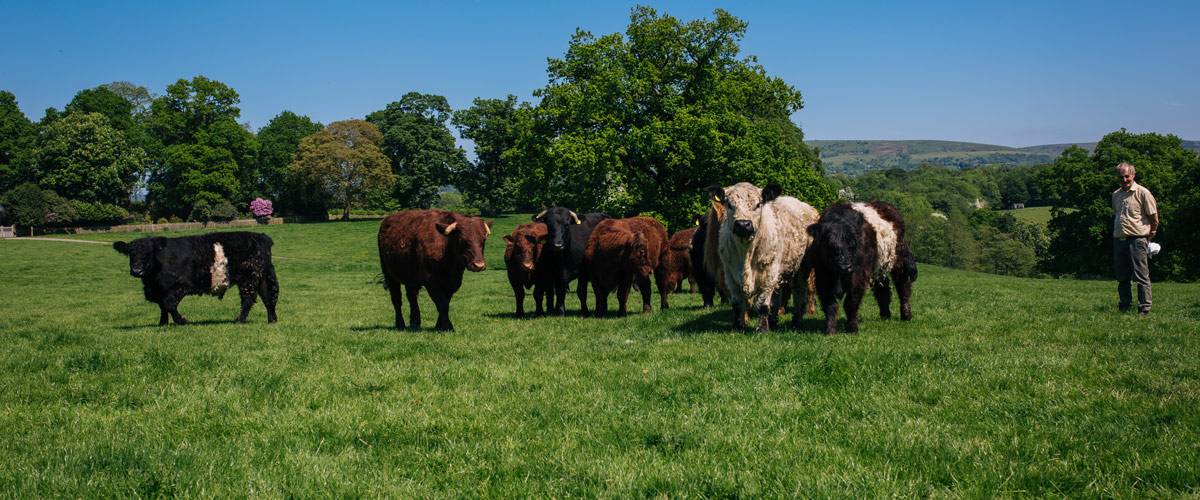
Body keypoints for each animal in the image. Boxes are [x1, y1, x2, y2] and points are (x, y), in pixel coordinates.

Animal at [112, 231, 278, 326]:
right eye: (131, 253)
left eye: (149, 253)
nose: (137, 270)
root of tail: (261, 236)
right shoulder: (159, 290)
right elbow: (162, 306)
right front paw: (162, 323)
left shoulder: (180, 286)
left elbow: (169, 304)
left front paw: (182, 321)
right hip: (261, 276)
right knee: (268, 297)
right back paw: (272, 320)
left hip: (249, 278)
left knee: (249, 299)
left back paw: (239, 320)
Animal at [801, 200, 912, 333]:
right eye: (830, 244)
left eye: (853, 244)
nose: (846, 267)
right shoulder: (823, 276)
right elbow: (830, 305)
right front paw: (830, 330)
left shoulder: (858, 276)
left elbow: (851, 302)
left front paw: (852, 328)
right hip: (878, 267)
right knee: (883, 289)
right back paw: (885, 315)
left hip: (897, 260)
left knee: (903, 284)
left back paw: (906, 314)